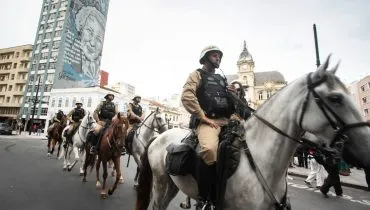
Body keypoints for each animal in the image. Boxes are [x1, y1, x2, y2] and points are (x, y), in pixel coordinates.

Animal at [133, 56, 370, 210]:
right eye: (335, 98)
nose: (366, 147)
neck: (262, 161)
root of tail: (159, 137)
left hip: (173, 183)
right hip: (161, 183)